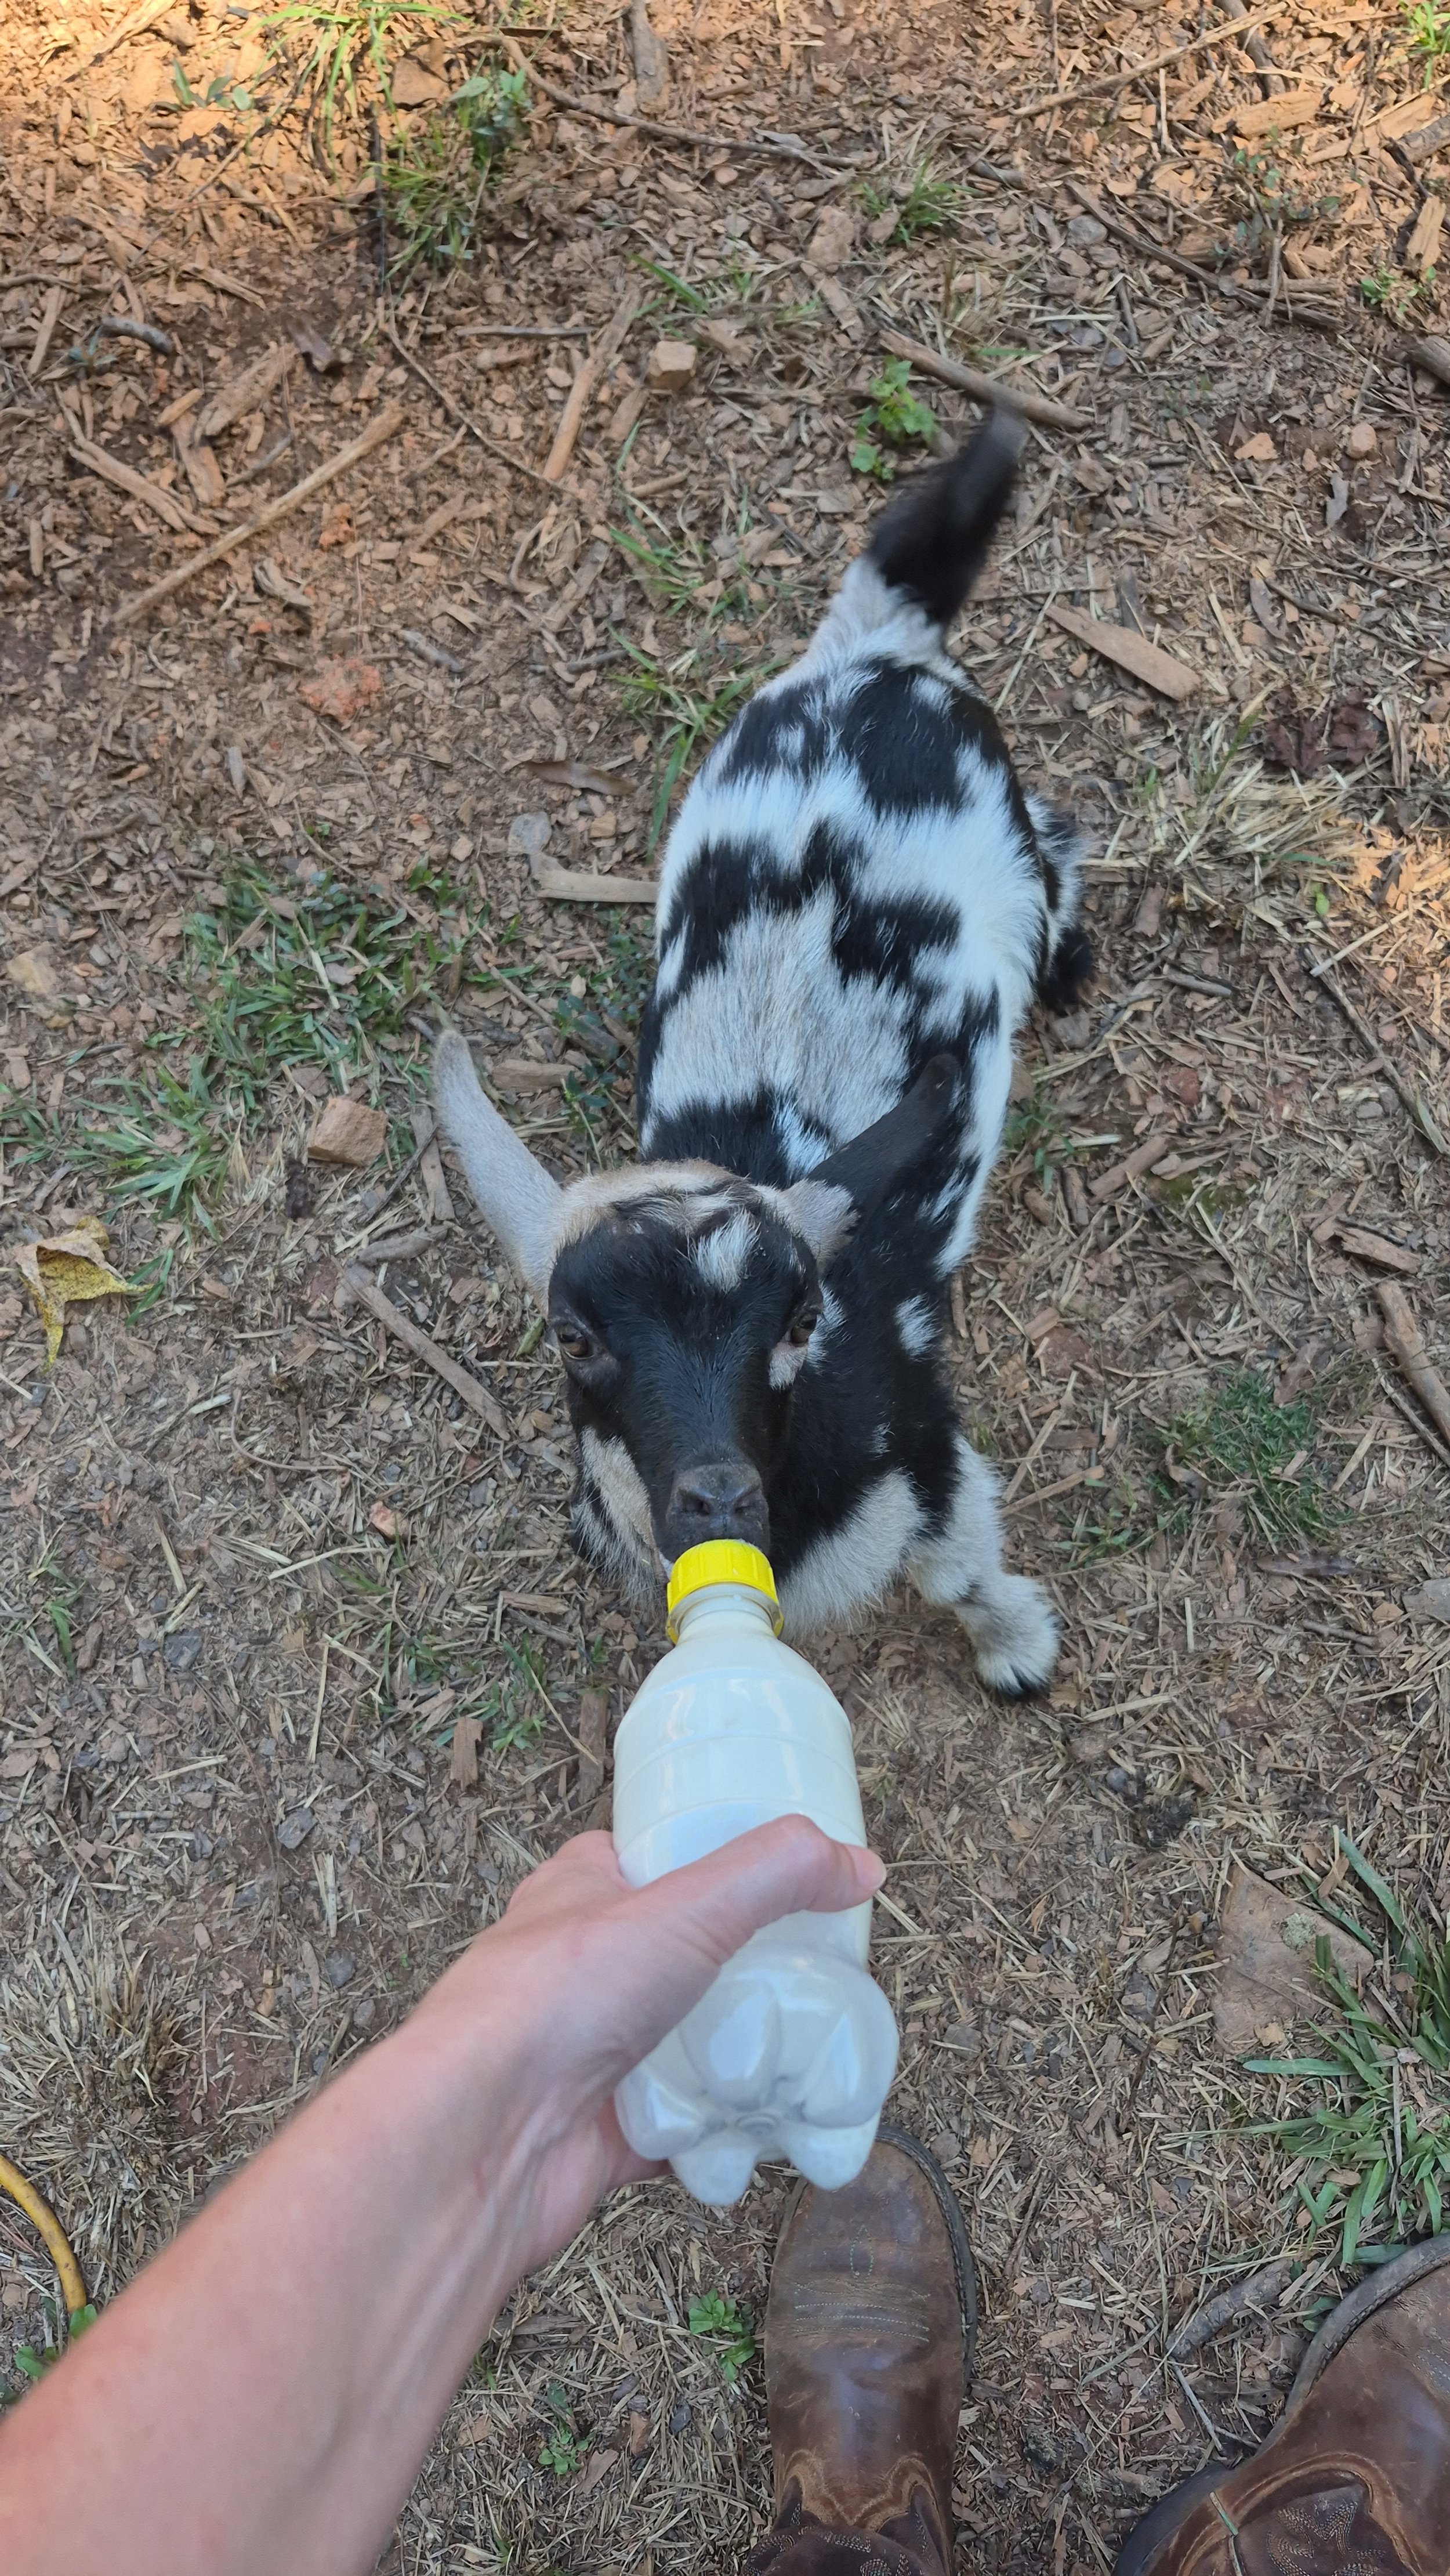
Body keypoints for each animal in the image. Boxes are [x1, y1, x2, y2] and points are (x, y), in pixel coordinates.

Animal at [435, 413, 1092, 1695]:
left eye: (799, 1320)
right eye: (571, 1335)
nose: (716, 1500)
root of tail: (878, 649)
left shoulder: (931, 1459)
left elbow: (958, 1571)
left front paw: (1017, 1651)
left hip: (1010, 825)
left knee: (1057, 840)